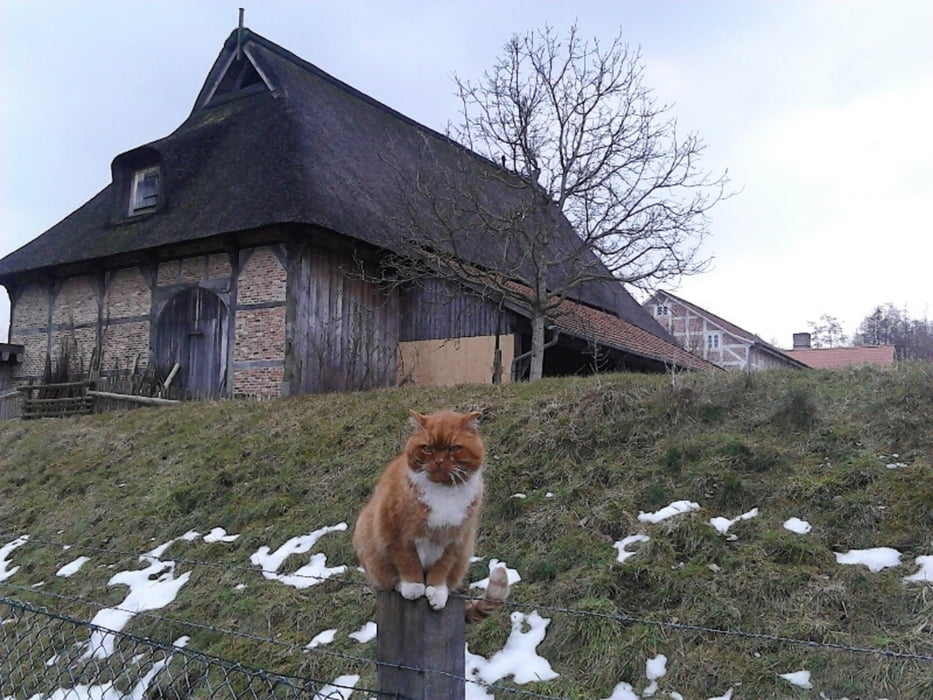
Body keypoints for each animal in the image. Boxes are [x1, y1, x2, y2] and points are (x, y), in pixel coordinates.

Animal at [352, 408, 510, 620]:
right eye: (427, 448)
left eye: (453, 448)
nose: (439, 461)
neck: (443, 493)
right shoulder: (397, 534)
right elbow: (408, 561)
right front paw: (413, 586)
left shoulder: (455, 540)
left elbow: (442, 567)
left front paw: (437, 591)